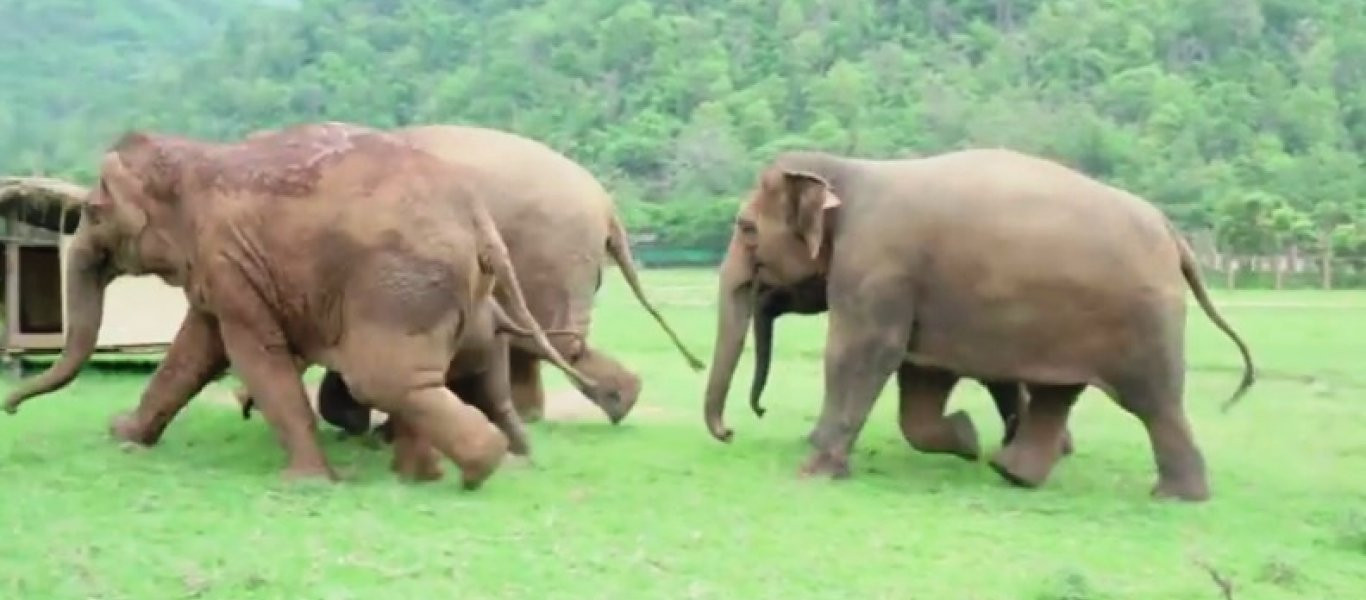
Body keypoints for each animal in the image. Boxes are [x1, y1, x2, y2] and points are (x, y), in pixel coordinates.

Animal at [0, 119, 609, 492]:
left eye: (93, 211)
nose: (9, 408)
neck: (196, 156)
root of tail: (480, 221)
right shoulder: (224, 267)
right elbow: (194, 350)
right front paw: (124, 436)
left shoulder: (229, 259)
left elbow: (250, 351)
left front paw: (306, 483)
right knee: (420, 380)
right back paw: (436, 473)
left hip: (400, 287)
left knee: (384, 378)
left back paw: (477, 465)